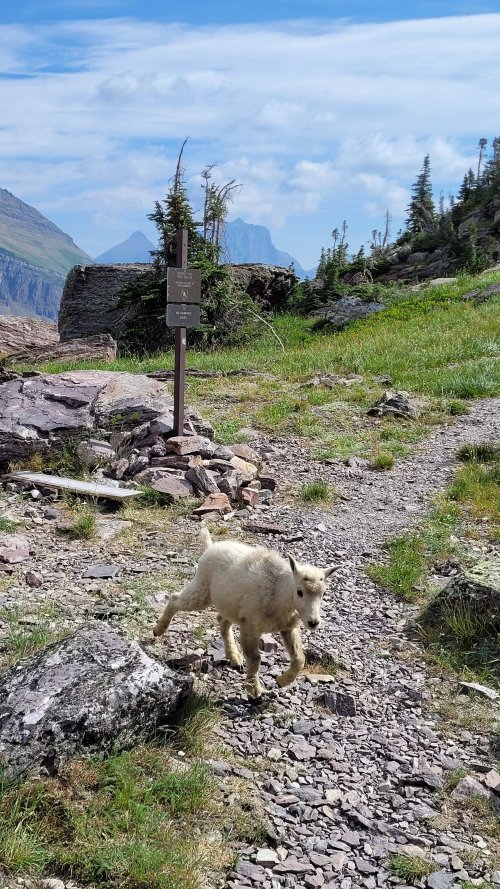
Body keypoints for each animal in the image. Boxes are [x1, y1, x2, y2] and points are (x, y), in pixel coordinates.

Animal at [152, 528, 332, 700]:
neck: (279, 593)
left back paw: (235, 658)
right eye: (299, 592)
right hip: (202, 592)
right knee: (175, 599)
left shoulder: (288, 627)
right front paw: (254, 691)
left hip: (230, 606)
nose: (313, 622)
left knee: (222, 622)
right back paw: (158, 630)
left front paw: (282, 681)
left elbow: (299, 659)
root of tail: (210, 547)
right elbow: (255, 659)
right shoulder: (250, 627)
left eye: (323, 593)